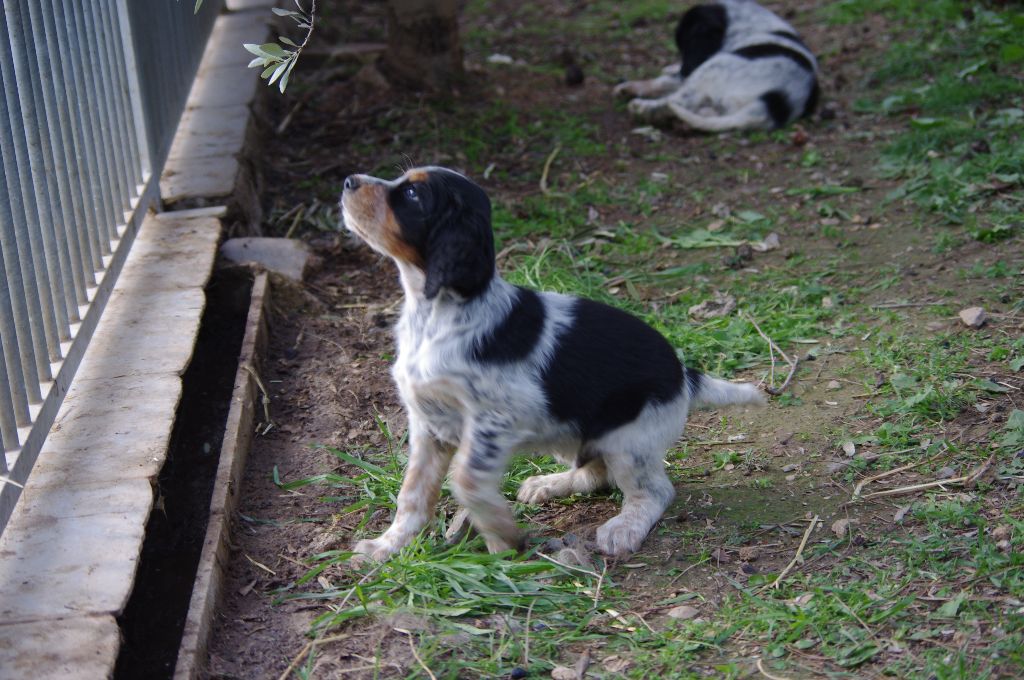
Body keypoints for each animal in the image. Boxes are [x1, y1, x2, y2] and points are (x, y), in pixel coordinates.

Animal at [339, 166, 765, 561]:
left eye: (412, 194)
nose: (348, 181)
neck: (436, 314)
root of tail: (684, 374)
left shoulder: (499, 417)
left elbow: (467, 480)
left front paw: (502, 536)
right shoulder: (428, 424)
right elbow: (412, 493)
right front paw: (387, 546)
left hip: (628, 440)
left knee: (654, 491)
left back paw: (624, 528)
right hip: (576, 435)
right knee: (596, 473)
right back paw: (548, 484)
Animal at [610, 0, 819, 131]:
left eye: (686, 42)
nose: (685, 68)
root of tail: (772, 103)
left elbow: (667, 82)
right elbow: (664, 79)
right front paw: (628, 87)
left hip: (714, 68)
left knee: (677, 101)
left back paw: (643, 108)